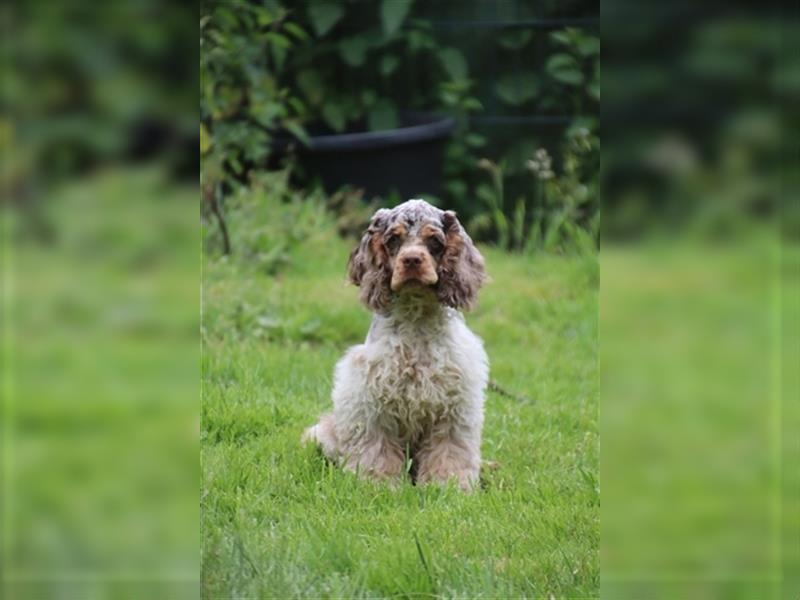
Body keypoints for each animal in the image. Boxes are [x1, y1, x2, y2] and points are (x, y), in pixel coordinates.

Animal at [304, 199, 488, 490]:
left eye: (434, 241)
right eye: (393, 239)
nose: (411, 259)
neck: (415, 315)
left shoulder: (455, 406)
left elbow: (450, 452)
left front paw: (447, 486)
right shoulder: (370, 399)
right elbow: (376, 451)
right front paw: (377, 484)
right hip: (323, 432)